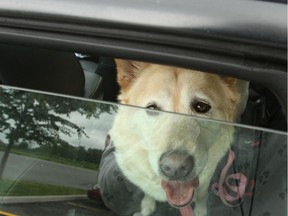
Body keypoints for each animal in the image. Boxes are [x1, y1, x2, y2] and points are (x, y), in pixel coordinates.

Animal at [109, 59, 249, 216]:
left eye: (201, 107)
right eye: (152, 108)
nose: (175, 168)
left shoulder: (206, 177)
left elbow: (202, 195)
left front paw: (200, 210)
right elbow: (148, 192)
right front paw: (147, 206)